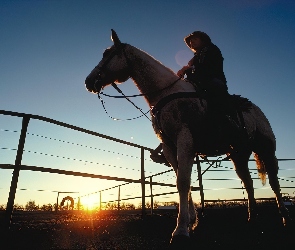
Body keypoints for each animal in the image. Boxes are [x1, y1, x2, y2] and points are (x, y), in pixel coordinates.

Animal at [84, 29, 292, 244]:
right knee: (248, 183)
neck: (167, 94)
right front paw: (192, 221)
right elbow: (182, 181)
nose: (89, 81)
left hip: (267, 149)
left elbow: (183, 182)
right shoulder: (170, 147)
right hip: (239, 154)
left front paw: (181, 229)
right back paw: (253, 218)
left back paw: (284, 217)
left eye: (107, 53)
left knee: (274, 182)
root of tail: (256, 110)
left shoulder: (185, 141)